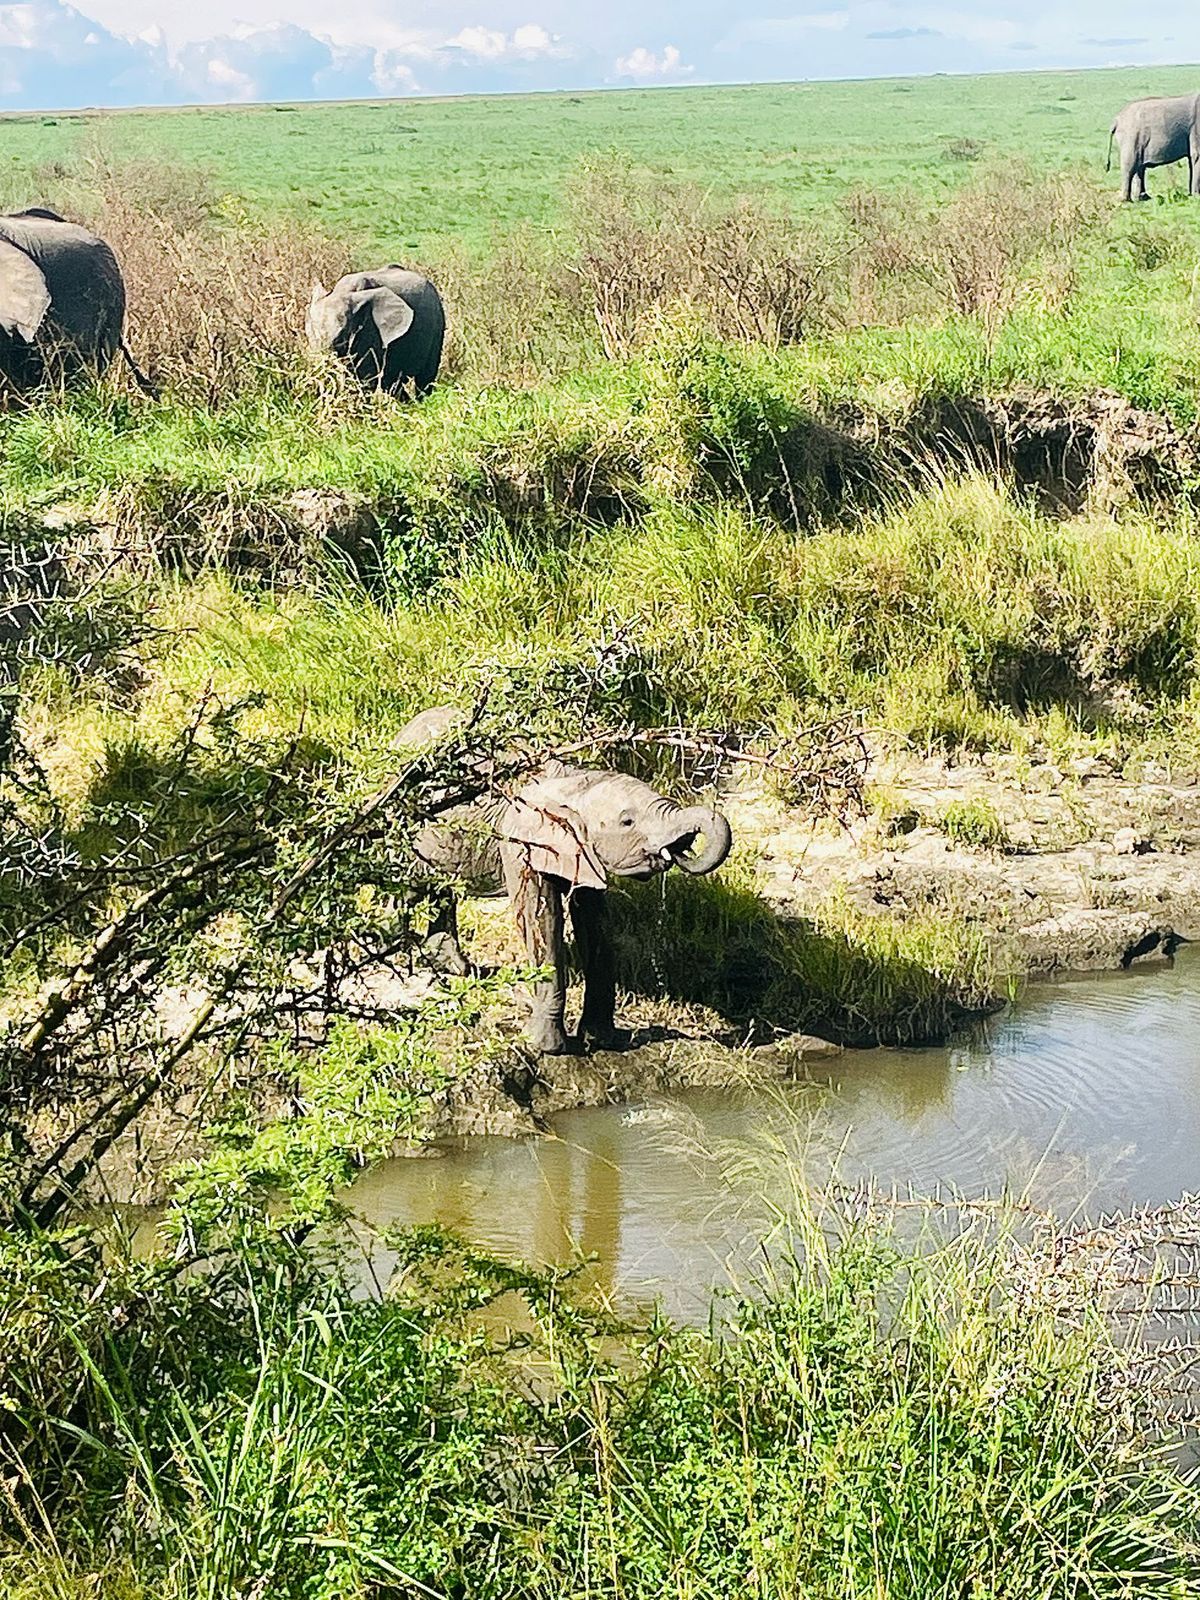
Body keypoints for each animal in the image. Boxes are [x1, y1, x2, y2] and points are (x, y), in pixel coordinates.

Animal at [306, 266, 445, 397]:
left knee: (425, 379)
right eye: (309, 334)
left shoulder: (372, 331)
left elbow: (366, 378)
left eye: (340, 339)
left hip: (438, 324)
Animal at [397, 706, 734, 1055]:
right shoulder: (521, 842)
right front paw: (547, 1047)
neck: (573, 782)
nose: (682, 847)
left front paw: (602, 1040)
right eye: (628, 821)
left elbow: (595, 922)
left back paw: (453, 967)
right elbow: (542, 921)